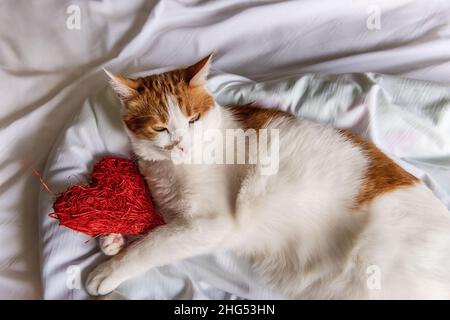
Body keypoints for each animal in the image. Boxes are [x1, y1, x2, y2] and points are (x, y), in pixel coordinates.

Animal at [85, 55, 450, 300]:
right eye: (160, 128)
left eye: (192, 120)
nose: (181, 145)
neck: (169, 169)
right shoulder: (174, 210)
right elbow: (150, 225)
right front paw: (112, 237)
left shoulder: (208, 222)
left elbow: (153, 244)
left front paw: (109, 269)